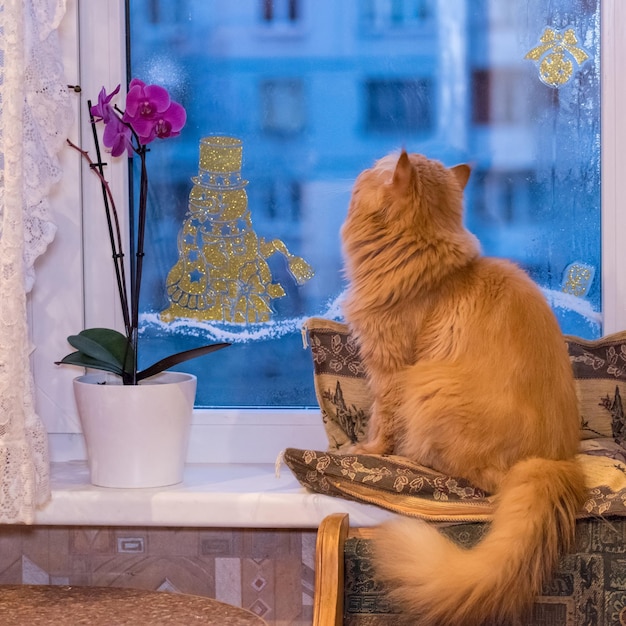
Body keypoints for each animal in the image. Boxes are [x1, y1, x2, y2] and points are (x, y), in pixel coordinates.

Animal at [338, 150, 584, 624]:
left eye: (375, 167)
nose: (362, 167)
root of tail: (553, 461)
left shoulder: (390, 366)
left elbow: (381, 419)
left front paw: (368, 450)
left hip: (427, 387)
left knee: (477, 478)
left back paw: (419, 461)